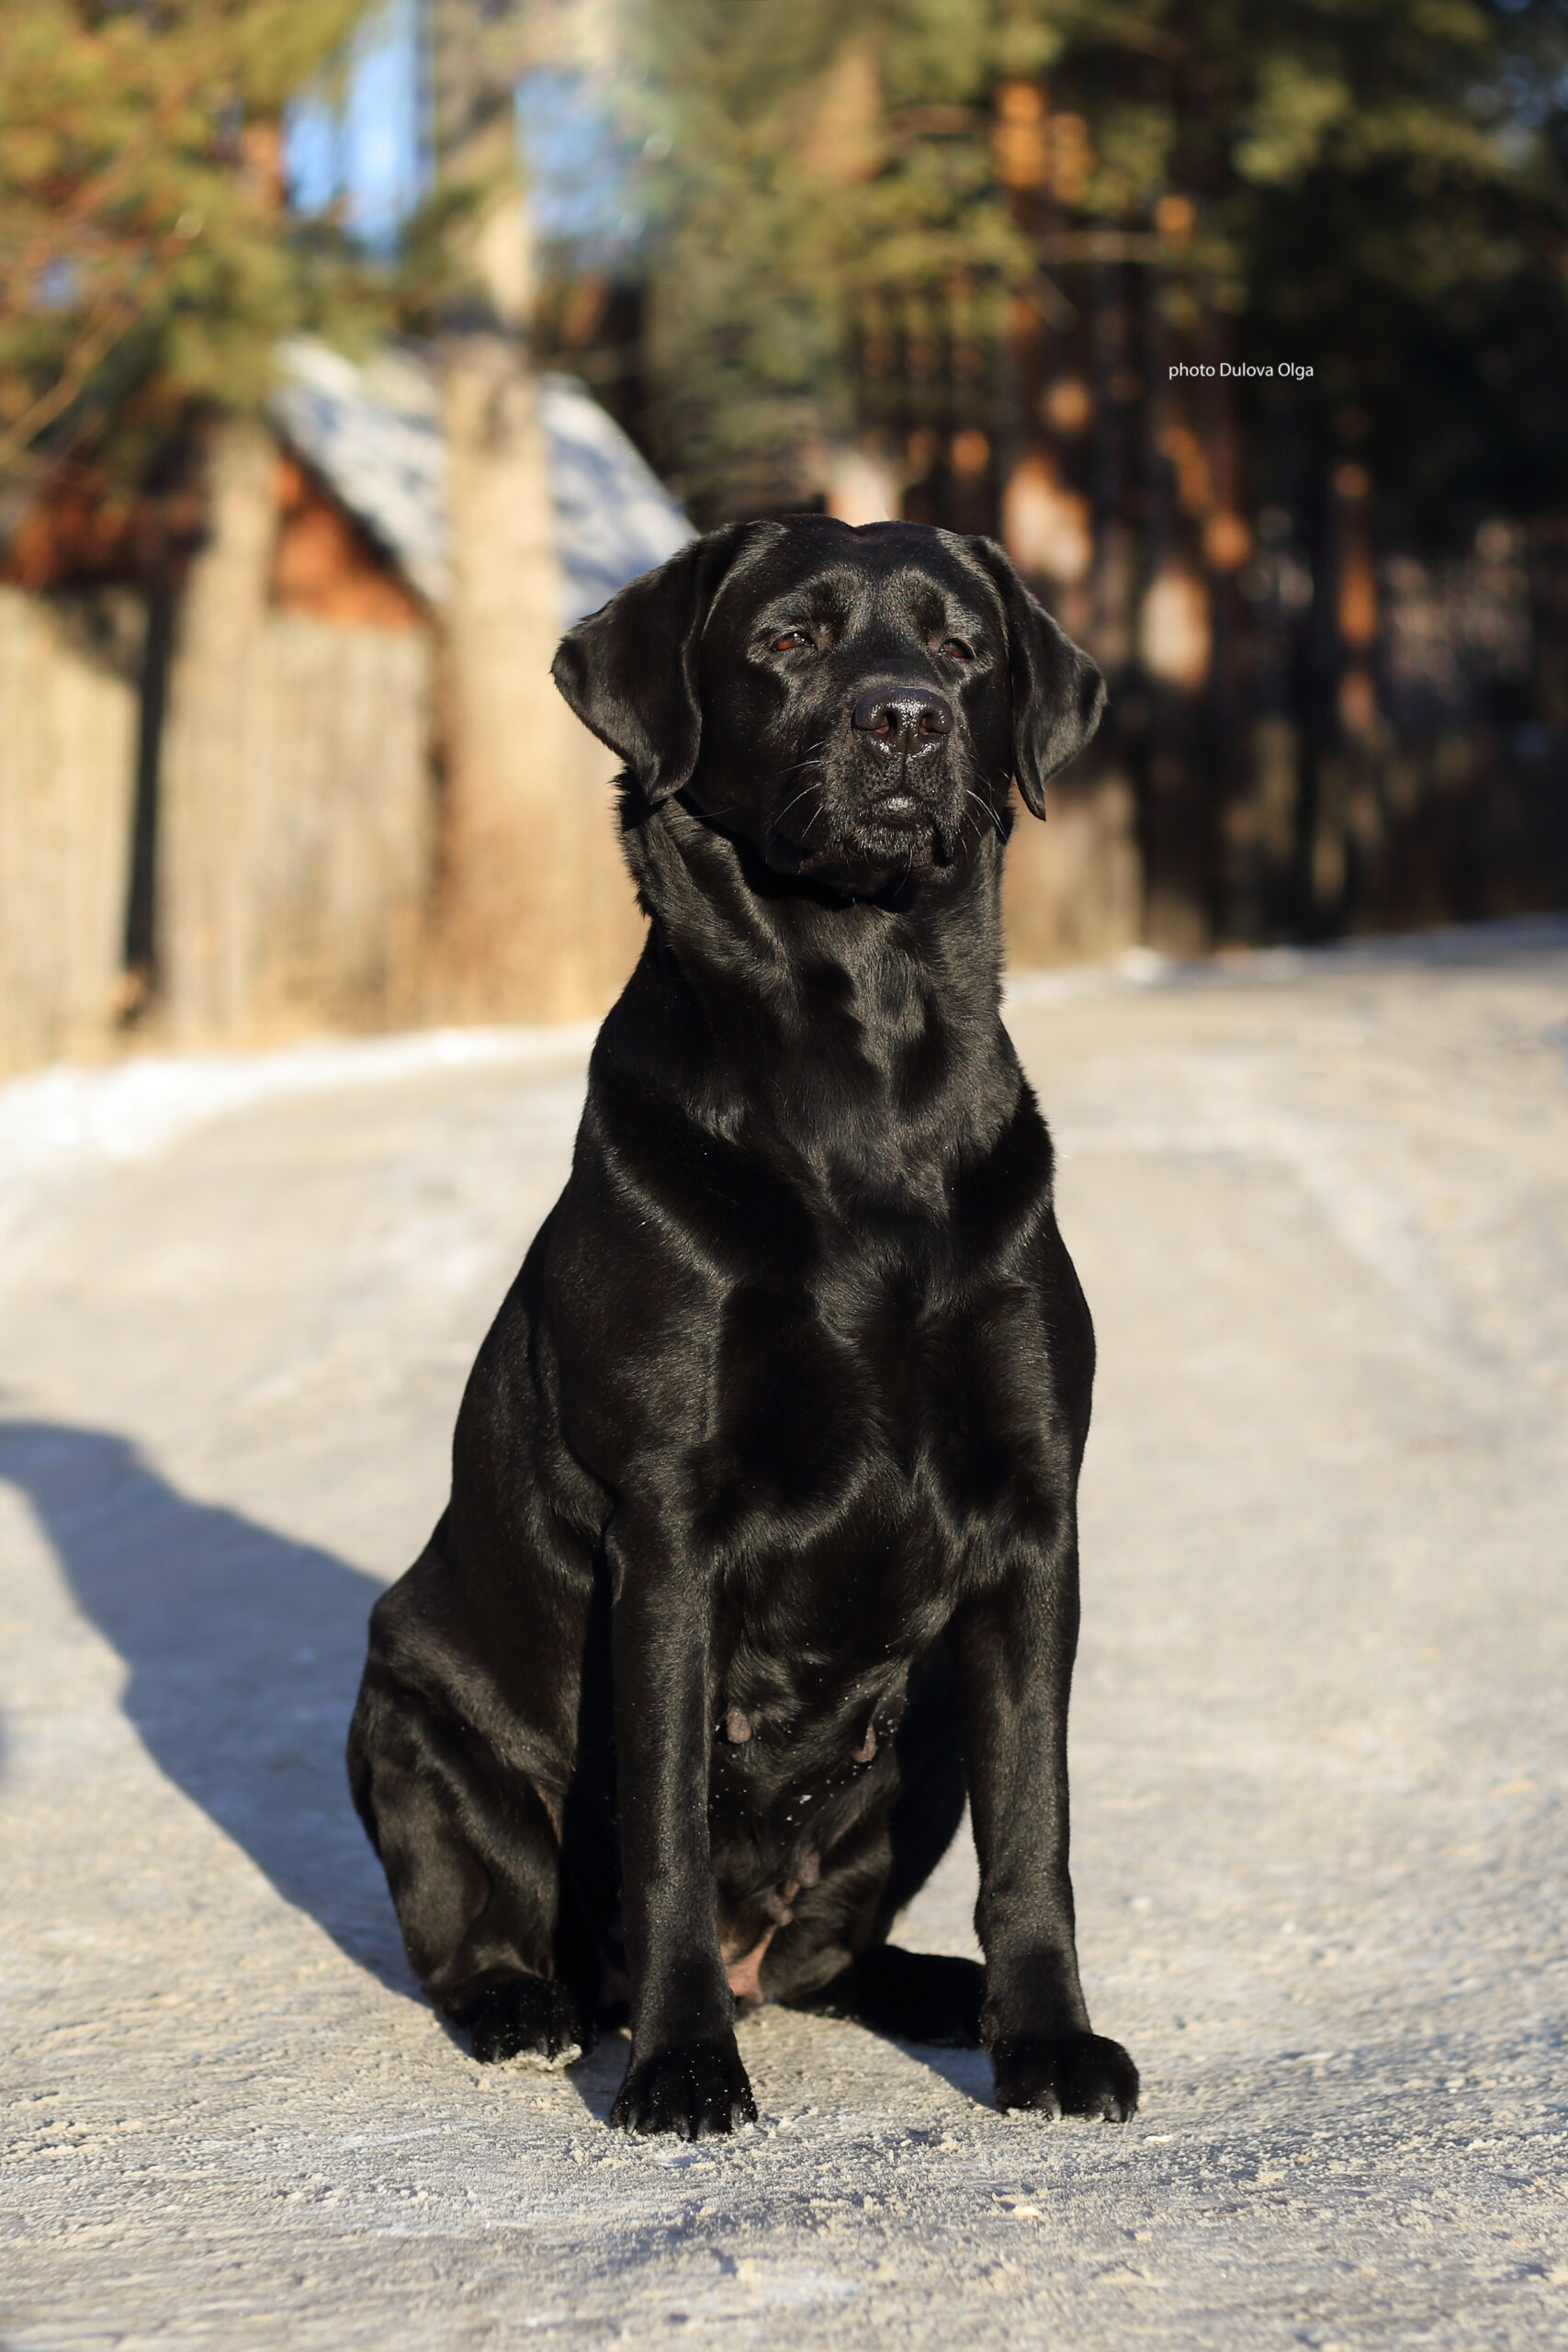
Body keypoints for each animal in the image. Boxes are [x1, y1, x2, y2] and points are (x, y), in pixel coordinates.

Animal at [350, 514, 1142, 2135]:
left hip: (919, 1728)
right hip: (401, 1704)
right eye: (786, 640)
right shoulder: (667, 1528)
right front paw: (681, 2069)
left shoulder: (1033, 1520)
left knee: (841, 1955)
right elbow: (661, 1831)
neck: (867, 1074)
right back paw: (531, 2004)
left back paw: (939, 1993)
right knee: (480, 1929)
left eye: (962, 647)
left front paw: (1048, 2041)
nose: (902, 718)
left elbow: (1035, 1829)